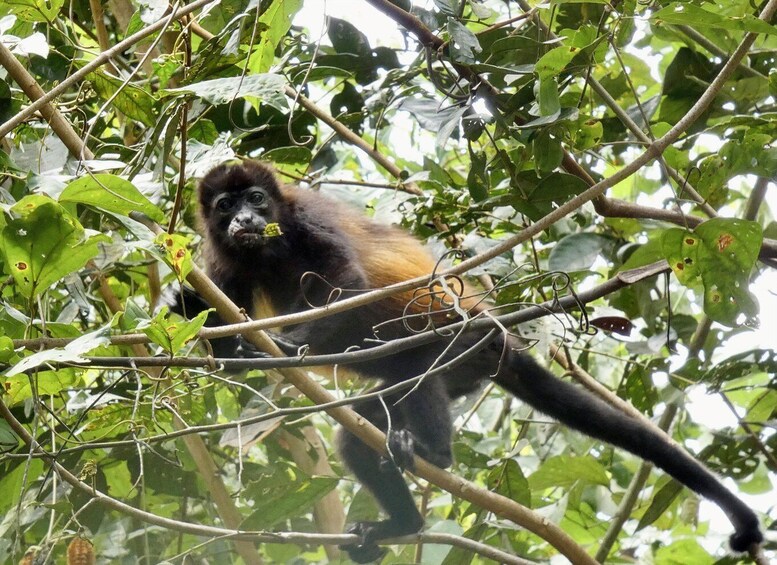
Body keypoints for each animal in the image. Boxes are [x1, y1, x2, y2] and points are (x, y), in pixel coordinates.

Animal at [169, 160, 762, 563]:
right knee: (361, 430)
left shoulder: (307, 218)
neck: (264, 247)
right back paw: (401, 523)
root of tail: (499, 337)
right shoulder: (218, 260)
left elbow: (349, 283)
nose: (246, 217)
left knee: (419, 378)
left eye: (255, 198)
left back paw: (435, 452)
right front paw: (192, 313)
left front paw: (289, 348)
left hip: (463, 348)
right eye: (225, 207)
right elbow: (218, 329)